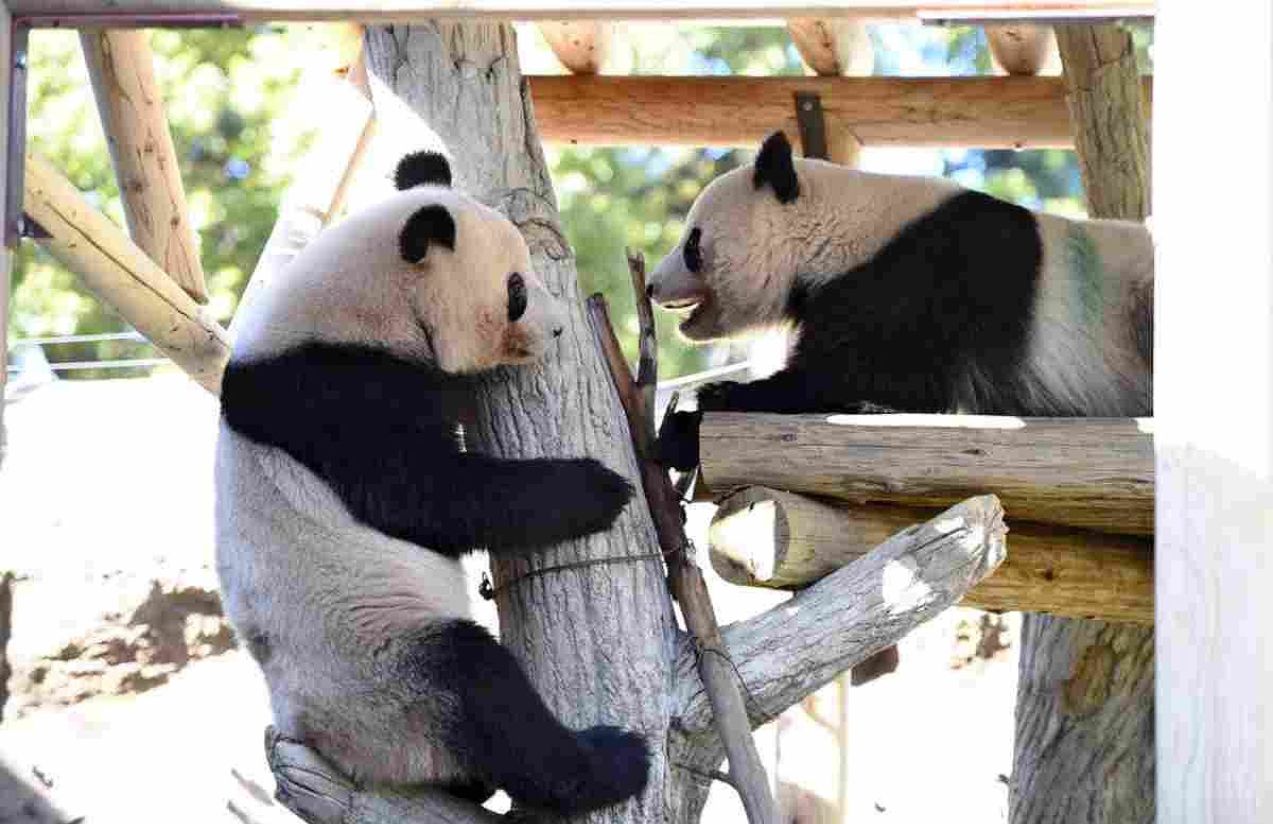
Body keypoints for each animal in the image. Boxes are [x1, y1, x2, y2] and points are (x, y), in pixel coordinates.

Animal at [216, 151, 649, 814]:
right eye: (515, 290)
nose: (556, 331)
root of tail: (323, 745)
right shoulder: (334, 392)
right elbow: (425, 495)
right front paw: (598, 490)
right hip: (381, 680)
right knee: (480, 688)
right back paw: (609, 761)